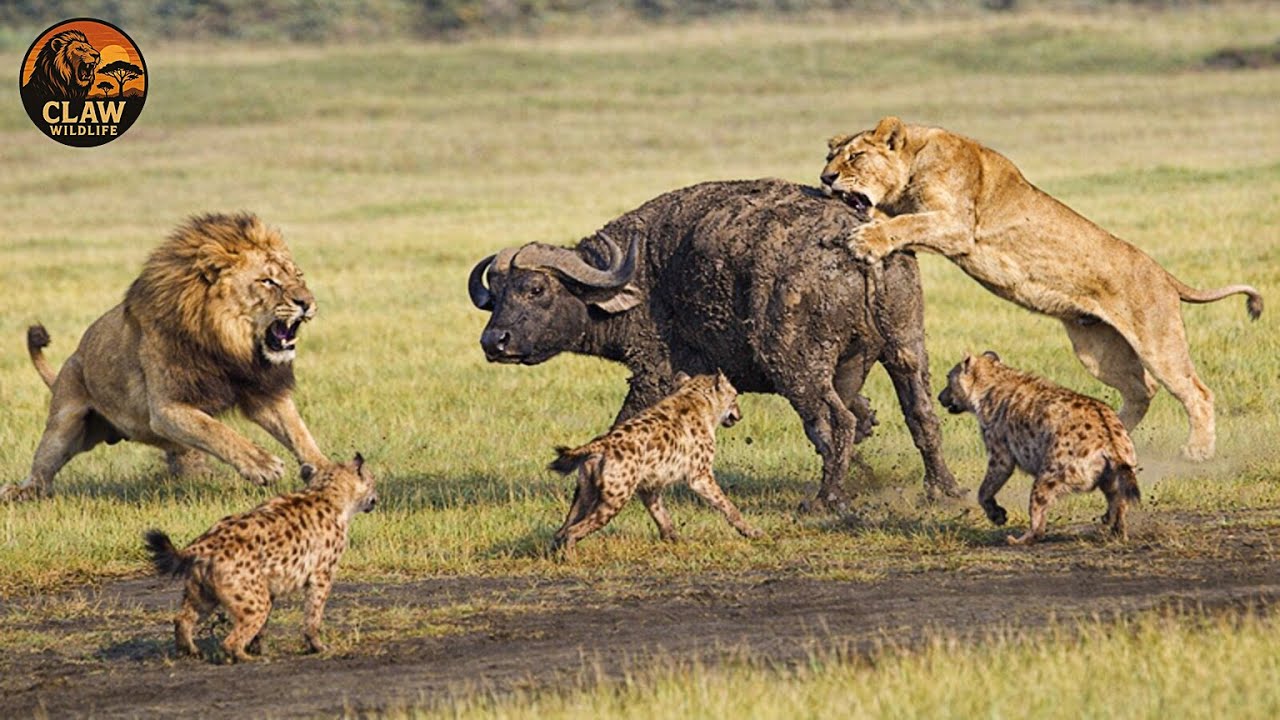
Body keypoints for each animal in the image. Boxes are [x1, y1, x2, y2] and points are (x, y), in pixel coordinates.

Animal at [1, 213, 329, 502]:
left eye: (298, 276)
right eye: (267, 282)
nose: (308, 302)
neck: (228, 345)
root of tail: (70, 361)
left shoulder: (263, 392)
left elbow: (299, 433)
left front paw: (327, 472)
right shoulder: (166, 408)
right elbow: (216, 431)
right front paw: (262, 464)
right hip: (64, 423)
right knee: (42, 470)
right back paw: (20, 492)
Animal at [821, 116, 1263, 461]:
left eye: (855, 157)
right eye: (830, 158)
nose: (825, 178)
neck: (915, 156)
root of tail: (1164, 273)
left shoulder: (956, 225)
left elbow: (907, 223)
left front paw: (866, 240)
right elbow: (897, 219)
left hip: (1156, 340)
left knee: (1196, 392)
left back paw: (1198, 451)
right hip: (1098, 351)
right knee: (1143, 390)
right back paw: (1108, 433)